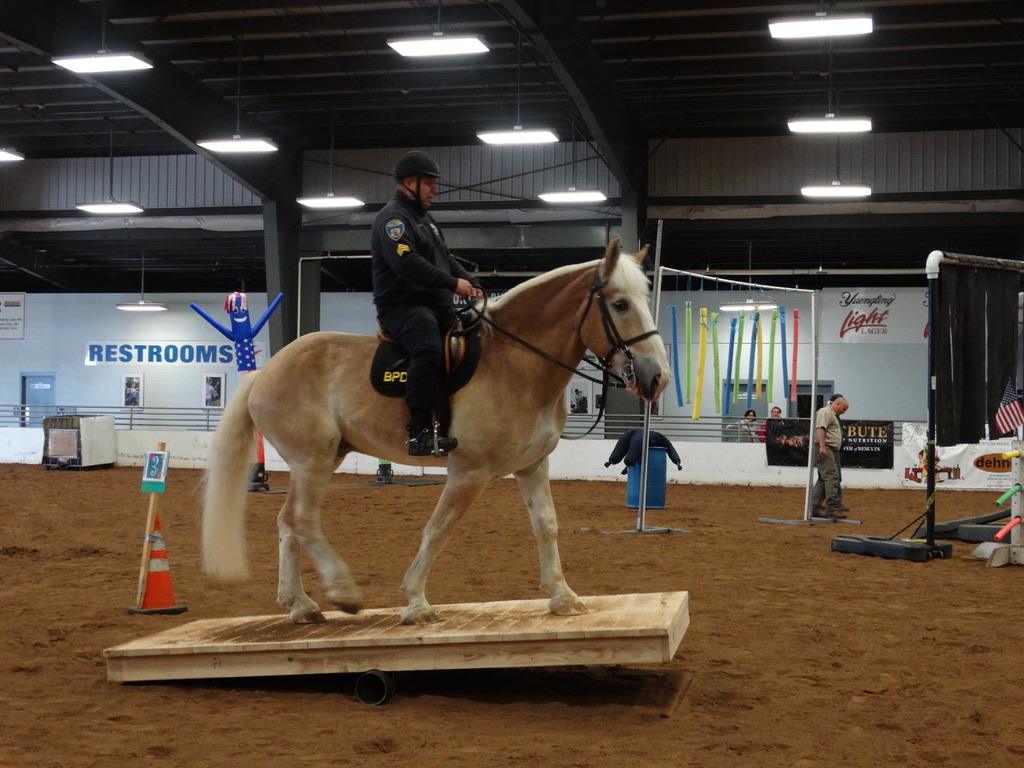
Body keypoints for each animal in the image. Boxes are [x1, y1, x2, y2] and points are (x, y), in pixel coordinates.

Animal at [201, 238, 671, 625]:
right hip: (312, 460)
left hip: (319, 460)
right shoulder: (468, 472)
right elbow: (438, 529)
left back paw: (300, 604)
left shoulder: (533, 465)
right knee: (301, 519)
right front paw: (416, 602)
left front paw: (563, 597)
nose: (658, 377)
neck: (514, 364)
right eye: (620, 304)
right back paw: (343, 593)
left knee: (288, 522)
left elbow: (546, 526)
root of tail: (266, 372)